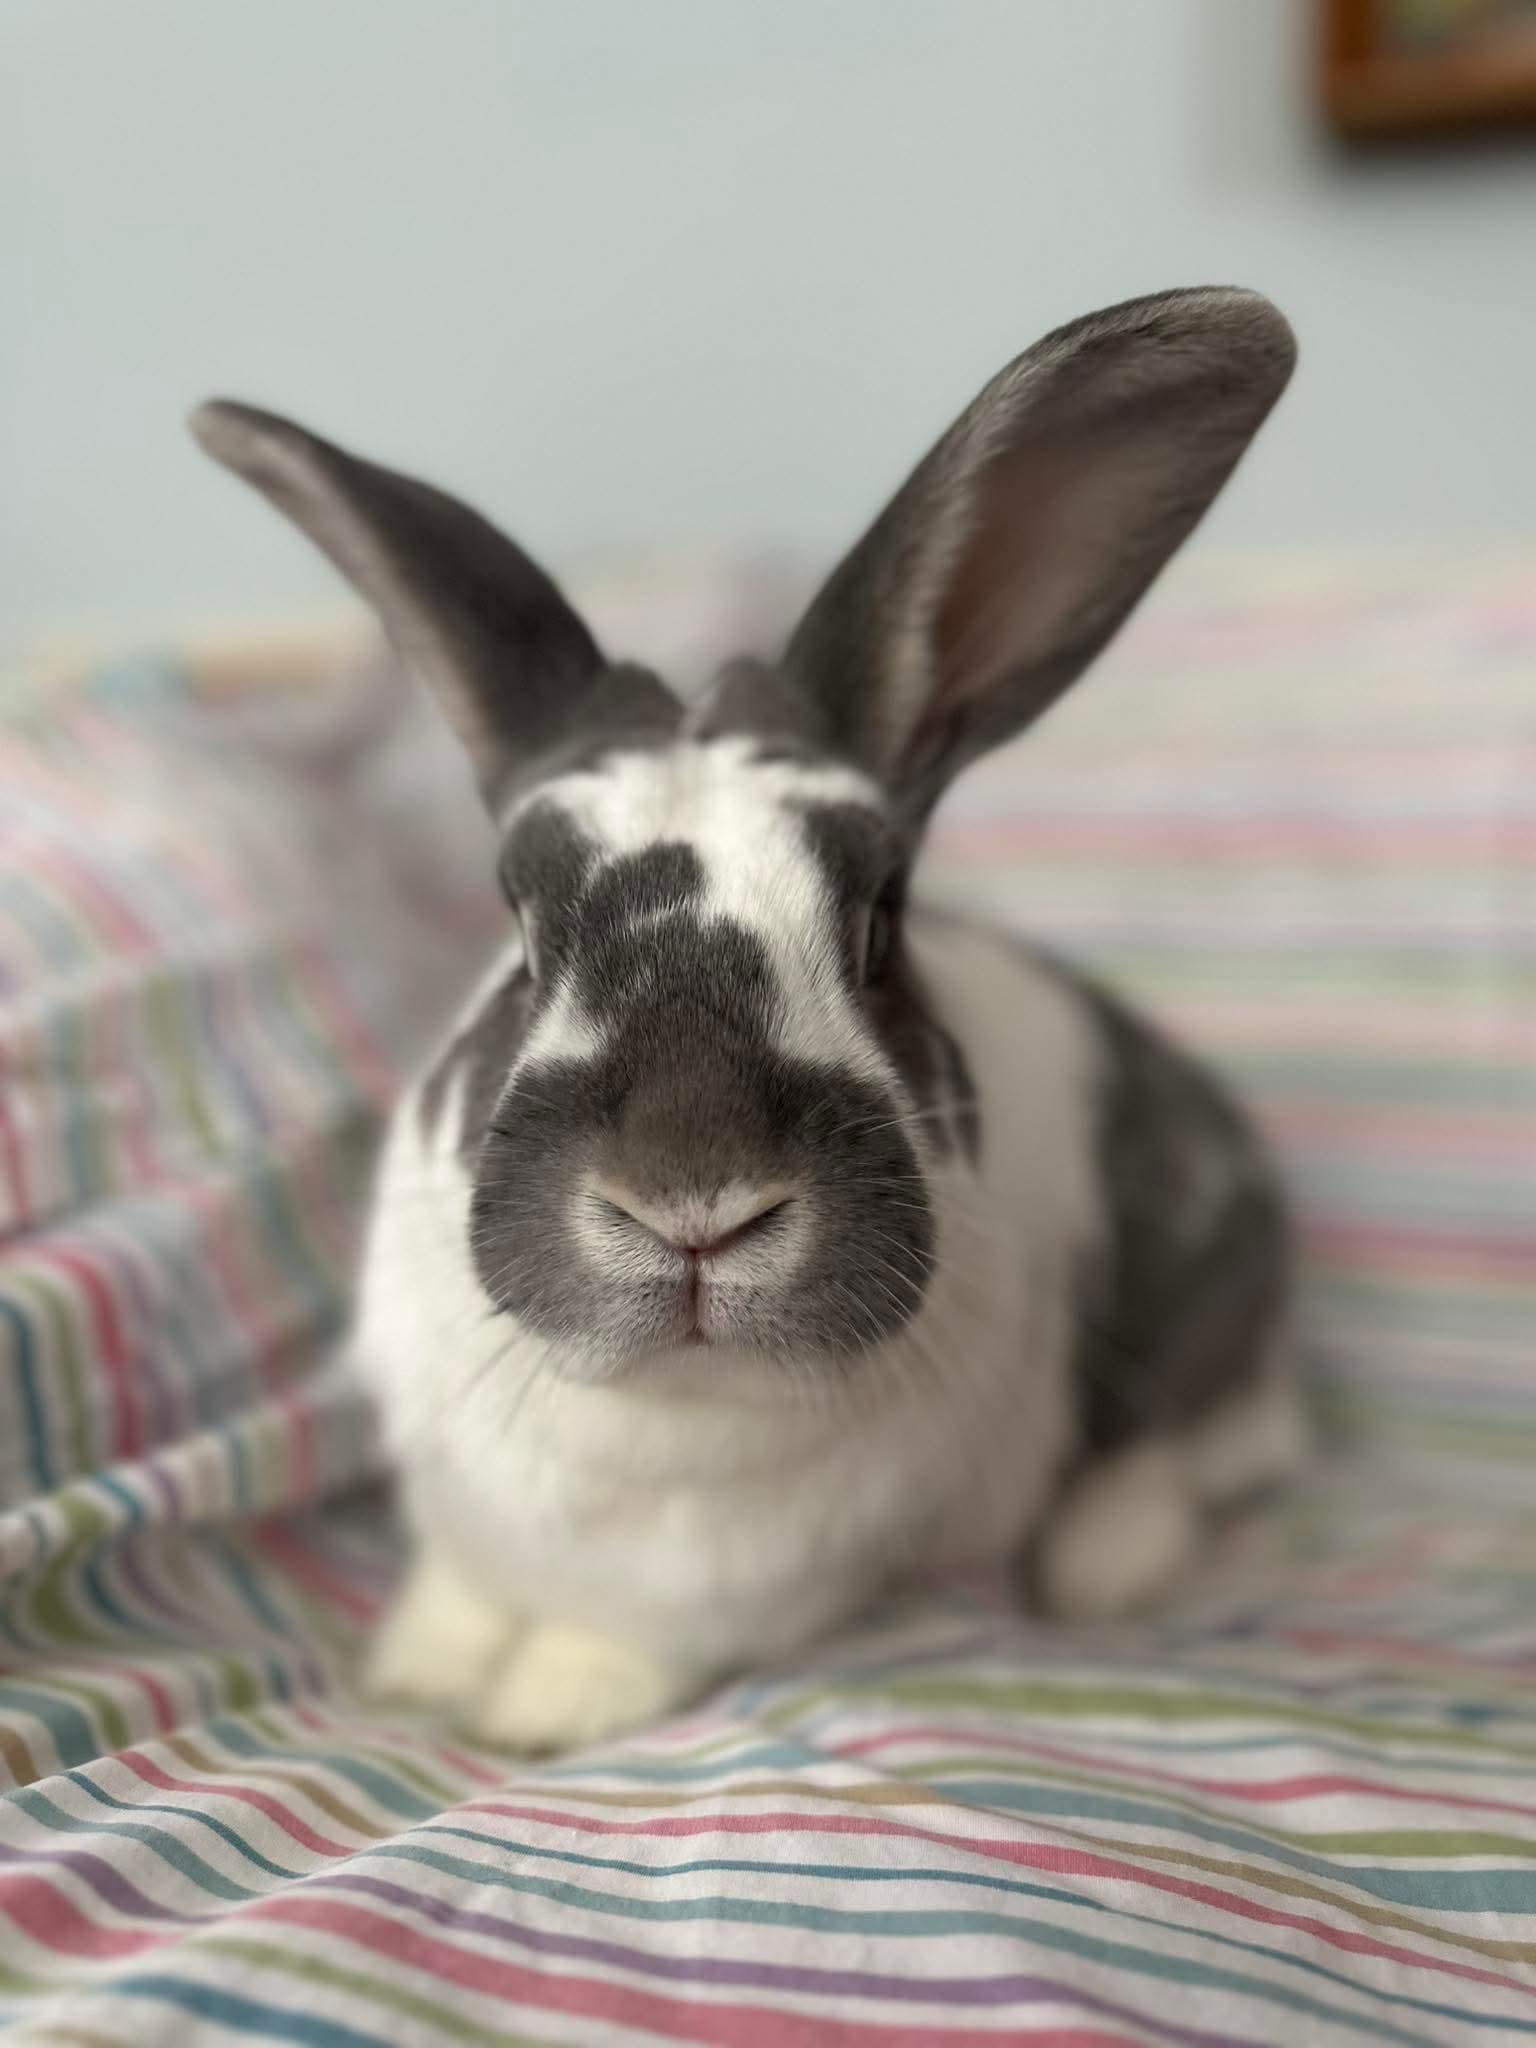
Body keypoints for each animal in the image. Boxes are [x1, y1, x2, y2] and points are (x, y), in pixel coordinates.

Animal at [193, 285, 1305, 1754]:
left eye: (881, 922)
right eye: (517, 921)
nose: (692, 1201)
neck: (663, 1408)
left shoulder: (753, 1594)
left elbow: (630, 1646)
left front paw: (540, 1714)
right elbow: (460, 1592)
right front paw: (419, 1675)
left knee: (1200, 1440)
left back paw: (1101, 1566)